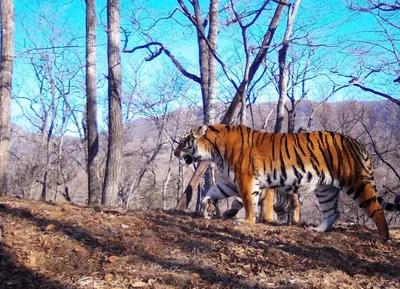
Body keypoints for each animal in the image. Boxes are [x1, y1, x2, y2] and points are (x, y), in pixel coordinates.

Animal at [175, 124, 400, 241]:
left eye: (184, 141)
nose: (175, 153)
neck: (214, 151)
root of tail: (357, 142)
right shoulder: (229, 182)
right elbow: (211, 191)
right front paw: (206, 208)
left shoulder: (245, 179)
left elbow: (249, 202)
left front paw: (246, 221)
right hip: (326, 189)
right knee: (332, 212)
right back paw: (318, 230)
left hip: (356, 181)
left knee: (377, 209)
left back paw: (383, 237)